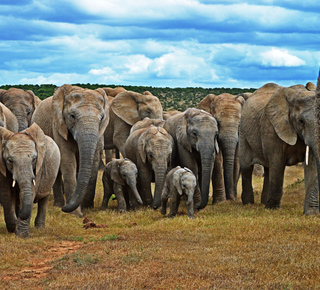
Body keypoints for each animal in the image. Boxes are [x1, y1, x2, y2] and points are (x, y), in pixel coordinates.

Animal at [31, 84, 109, 215]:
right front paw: (76, 214)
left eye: (102, 118)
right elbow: (67, 160)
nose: (65, 208)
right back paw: (58, 205)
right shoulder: (58, 125)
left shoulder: (100, 132)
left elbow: (94, 160)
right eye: (72, 116)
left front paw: (87, 208)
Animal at [240, 80, 320, 215]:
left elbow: (312, 166)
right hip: (243, 132)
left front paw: (312, 214)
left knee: (268, 168)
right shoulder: (272, 127)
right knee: (246, 166)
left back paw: (264, 202)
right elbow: (277, 162)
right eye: (301, 121)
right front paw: (273, 209)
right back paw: (248, 203)